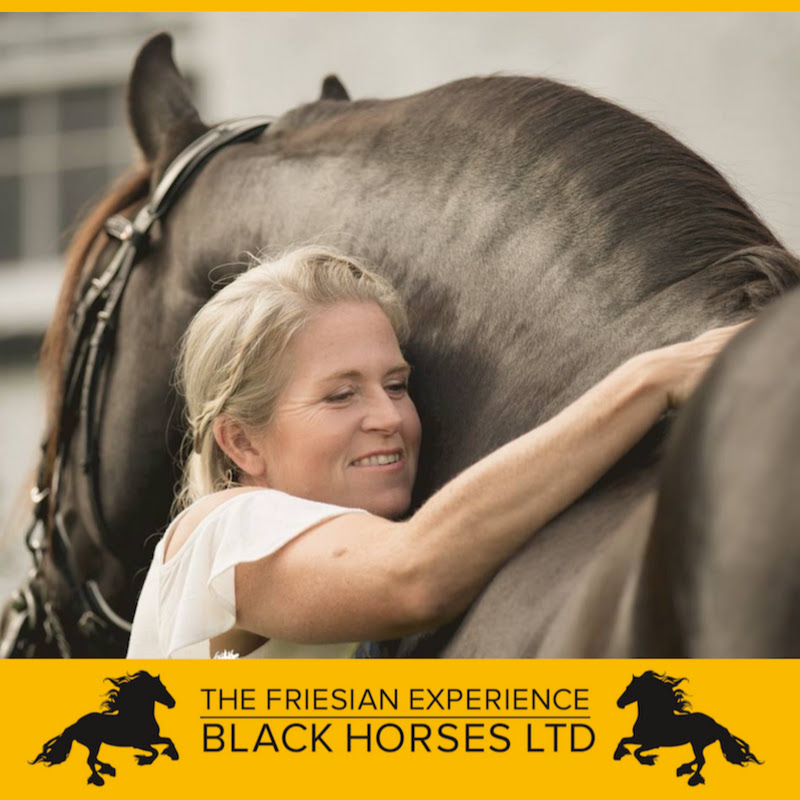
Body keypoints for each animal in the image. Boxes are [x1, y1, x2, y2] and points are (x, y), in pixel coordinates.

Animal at [30, 670, 178, 785]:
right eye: (161, 688)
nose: (173, 703)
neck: (136, 716)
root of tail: (76, 724)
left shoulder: (152, 739)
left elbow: (168, 740)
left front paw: (172, 754)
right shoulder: (140, 743)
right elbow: (155, 751)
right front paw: (143, 760)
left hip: (95, 744)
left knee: (93, 759)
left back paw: (109, 769)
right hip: (94, 744)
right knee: (90, 760)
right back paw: (100, 779)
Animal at [614, 671, 761, 786]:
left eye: (630, 688)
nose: (619, 703)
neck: (654, 716)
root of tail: (716, 724)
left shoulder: (652, 743)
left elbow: (636, 751)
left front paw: (648, 760)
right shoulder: (639, 739)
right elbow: (623, 740)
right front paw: (619, 755)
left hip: (697, 743)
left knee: (701, 760)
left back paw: (692, 779)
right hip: (696, 744)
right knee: (698, 759)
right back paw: (682, 769)